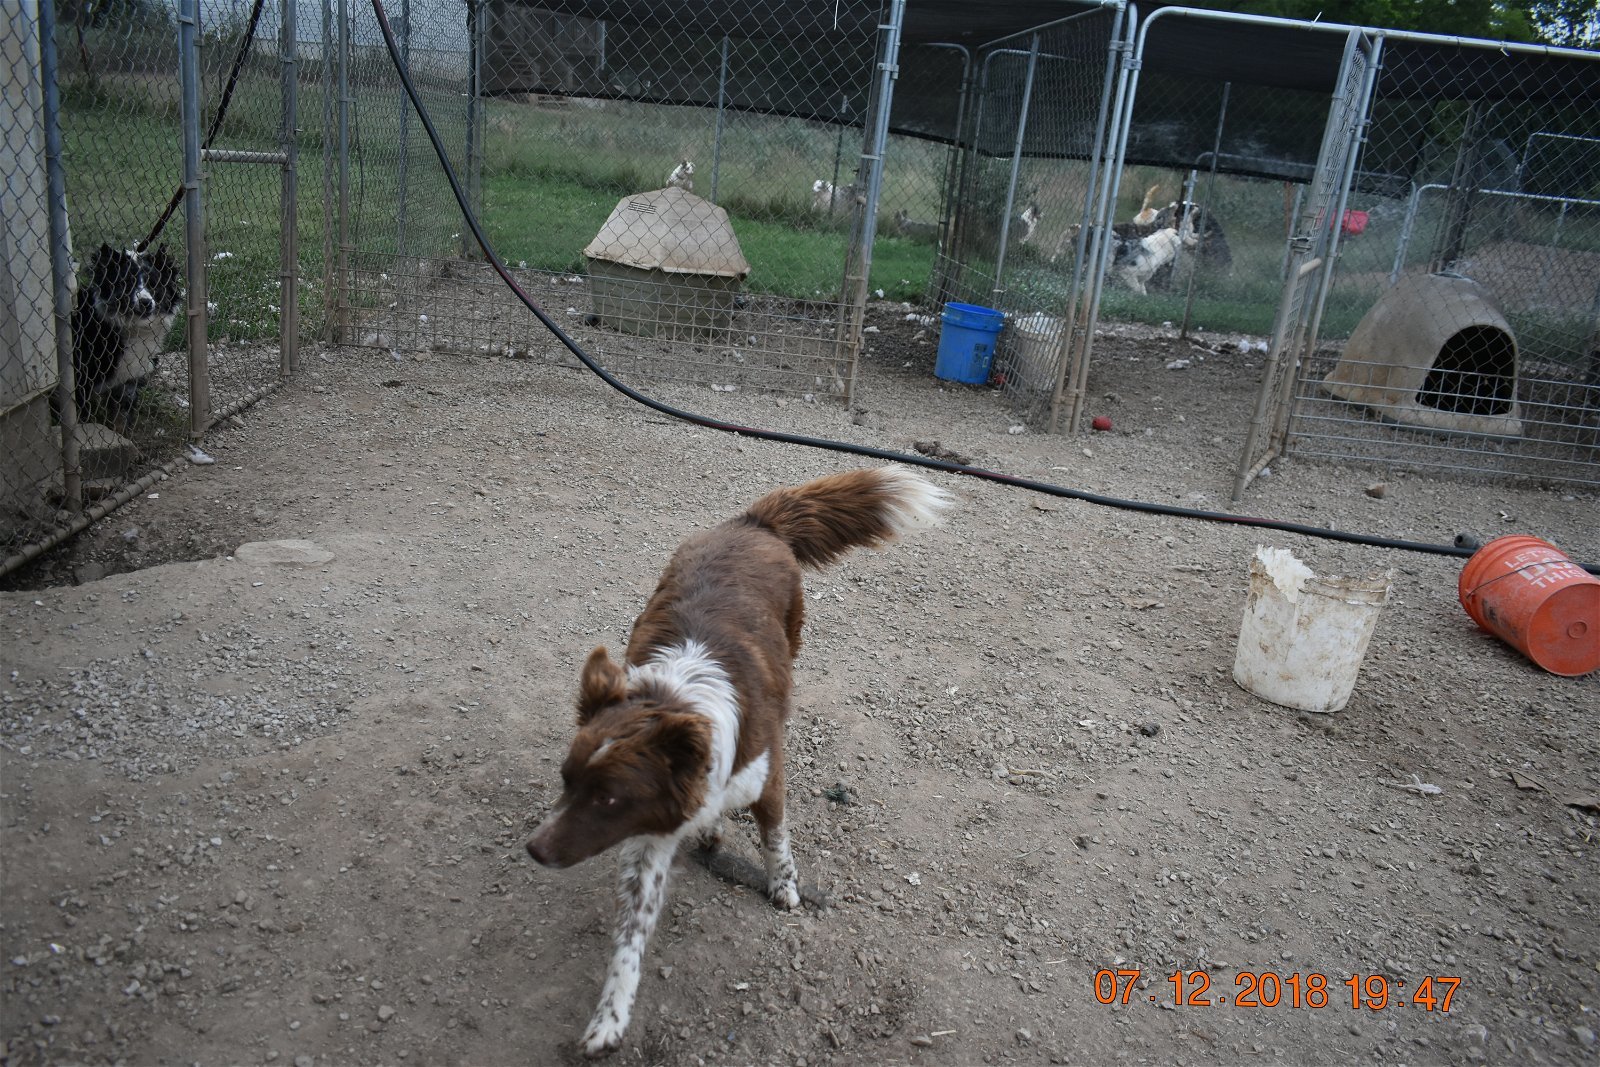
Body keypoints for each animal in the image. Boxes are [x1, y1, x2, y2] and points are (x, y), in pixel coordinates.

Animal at [69, 244, 184, 428]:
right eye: (127, 283)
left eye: (154, 284)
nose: (146, 303)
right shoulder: (81, 379)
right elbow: (82, 414)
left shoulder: (127, 383)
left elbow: (122, 417)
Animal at [524, 470, 947, 1062]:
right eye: (567, 781)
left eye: (608, 798)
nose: (534, 850)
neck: (673, 701)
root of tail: (752, 522)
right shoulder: (650, 834)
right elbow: (632, 935)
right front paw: (609, 1017)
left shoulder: (765, 781)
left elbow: (776, 840)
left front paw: (784, 887)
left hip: (793, 632)